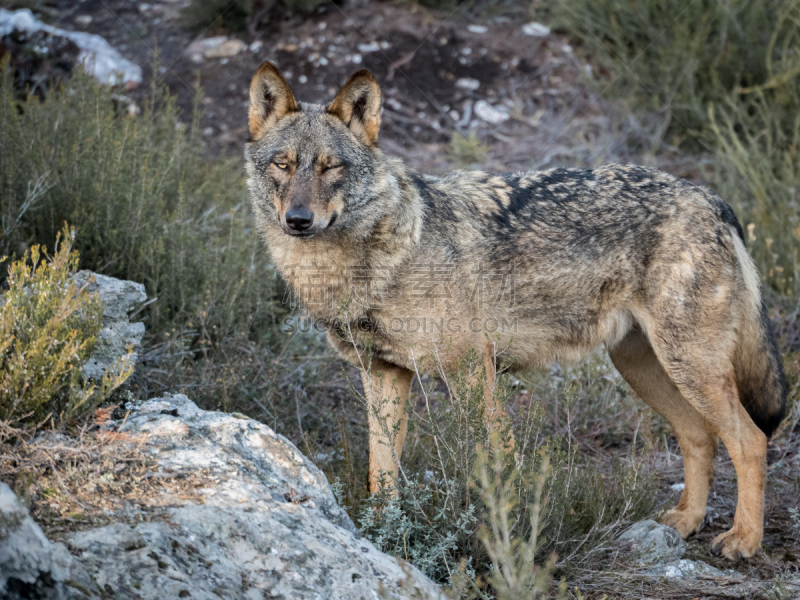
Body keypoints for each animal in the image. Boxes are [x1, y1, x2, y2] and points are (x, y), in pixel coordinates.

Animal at [244, 61, 788, 556]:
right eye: (283, 165)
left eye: (330, 166)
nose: (298, 220)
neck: (378, 259)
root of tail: (712, 198)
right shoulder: (383, 373)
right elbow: (382, 472)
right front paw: (381, 535)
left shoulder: (470, 367)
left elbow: (498, 461)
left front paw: (514, 534)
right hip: (645, 367)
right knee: (700, 437)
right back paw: (687, 522)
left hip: (687, 366)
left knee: (750, 440)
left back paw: (744, 540)